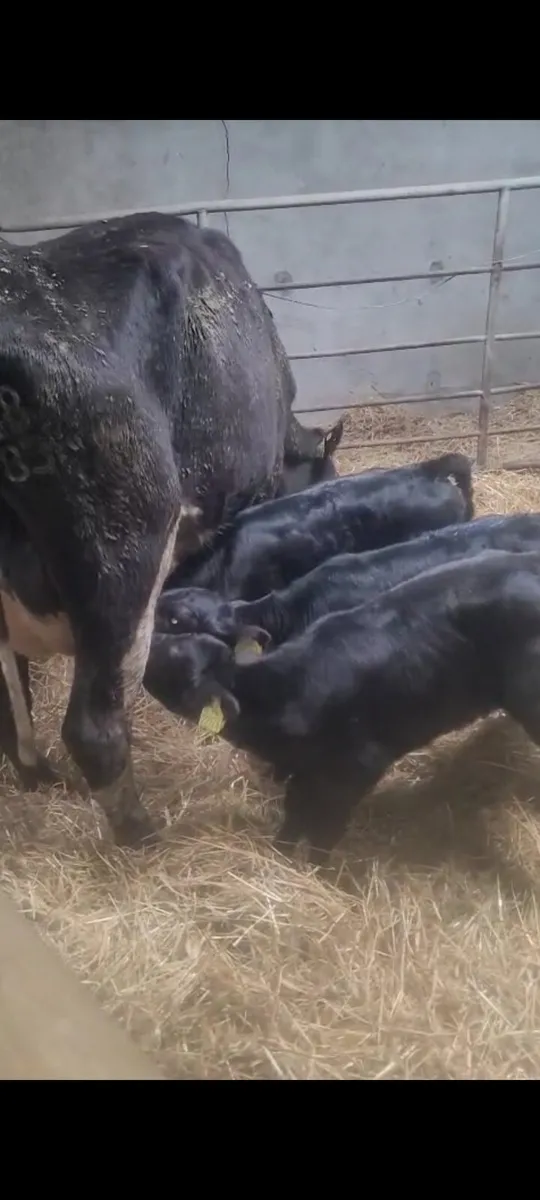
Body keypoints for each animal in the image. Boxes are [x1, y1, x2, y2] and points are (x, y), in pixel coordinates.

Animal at [144, 549, 540, 864]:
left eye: (172, 653)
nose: (143, 641)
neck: (285, 692)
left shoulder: (359, 767)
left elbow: (325, 828)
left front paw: (316, 871)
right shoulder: (304, 768)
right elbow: (294, 813)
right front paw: (283, 858)